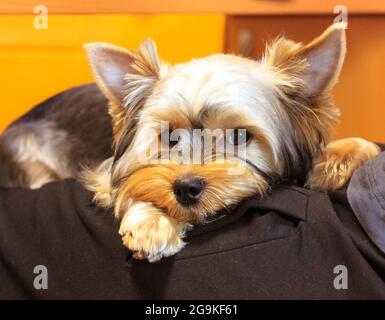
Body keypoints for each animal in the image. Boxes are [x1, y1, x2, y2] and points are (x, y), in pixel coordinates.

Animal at [0, 23, 378, 262]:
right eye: (169, 136)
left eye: (240, 136)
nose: (185, 187)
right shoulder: (105, 172)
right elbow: (134, 184)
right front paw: (152, 222)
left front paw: (343, 157)